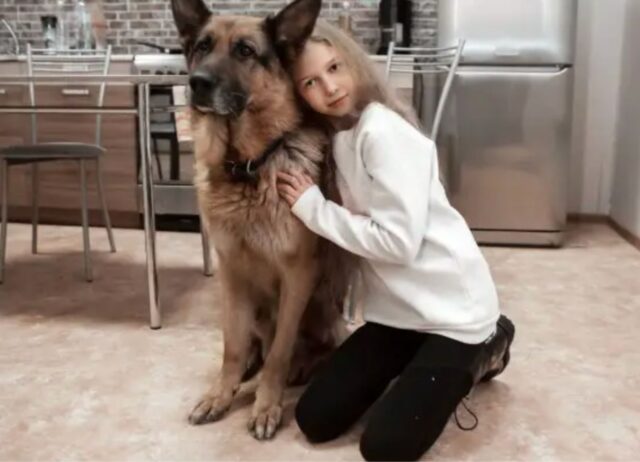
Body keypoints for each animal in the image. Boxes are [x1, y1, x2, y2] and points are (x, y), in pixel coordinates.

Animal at [172, 0, 352, 440]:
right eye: (202, 46)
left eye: (245, 51)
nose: (196, 83)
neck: (248, 167)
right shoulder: (232, 273)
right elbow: (232, 346)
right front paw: (221, 394)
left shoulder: (297, 276)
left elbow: (281, 352)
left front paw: (267, 405)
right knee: (253, 345)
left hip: (320, 307)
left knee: (318, 347)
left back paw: (301, 369)